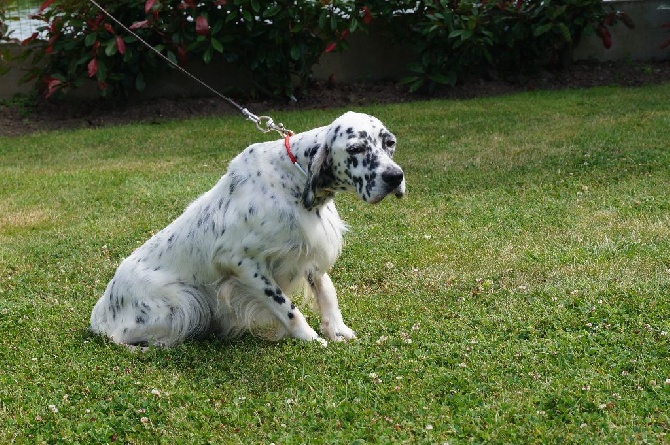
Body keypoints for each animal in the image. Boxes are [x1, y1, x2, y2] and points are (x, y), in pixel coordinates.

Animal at [88, 111, 404, 346]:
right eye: (356, 148)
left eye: (390, 143)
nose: (395, 177)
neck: (293, 180)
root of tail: (100, 313)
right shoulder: (241, 263)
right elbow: (288, 308)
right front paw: (311, 338)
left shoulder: (310, 250)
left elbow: (327, 292)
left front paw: (337, 330)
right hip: (182, 303)